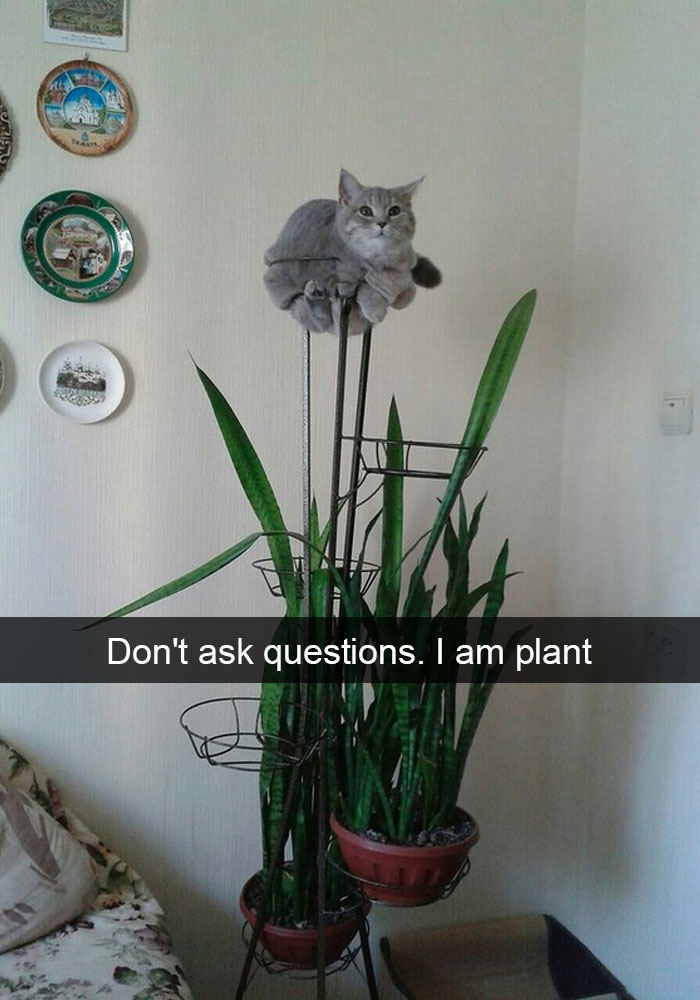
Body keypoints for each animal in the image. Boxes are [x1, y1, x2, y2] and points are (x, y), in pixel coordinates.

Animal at [266, 167, 440, 332]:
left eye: (394, 211)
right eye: (365, 211)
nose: (382, 223)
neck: (378, 260)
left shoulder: (405, 267)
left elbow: (407, 293)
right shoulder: (339, 283)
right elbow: (362, 286)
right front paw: (375, 307)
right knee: (318, 320)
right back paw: (314, 296)